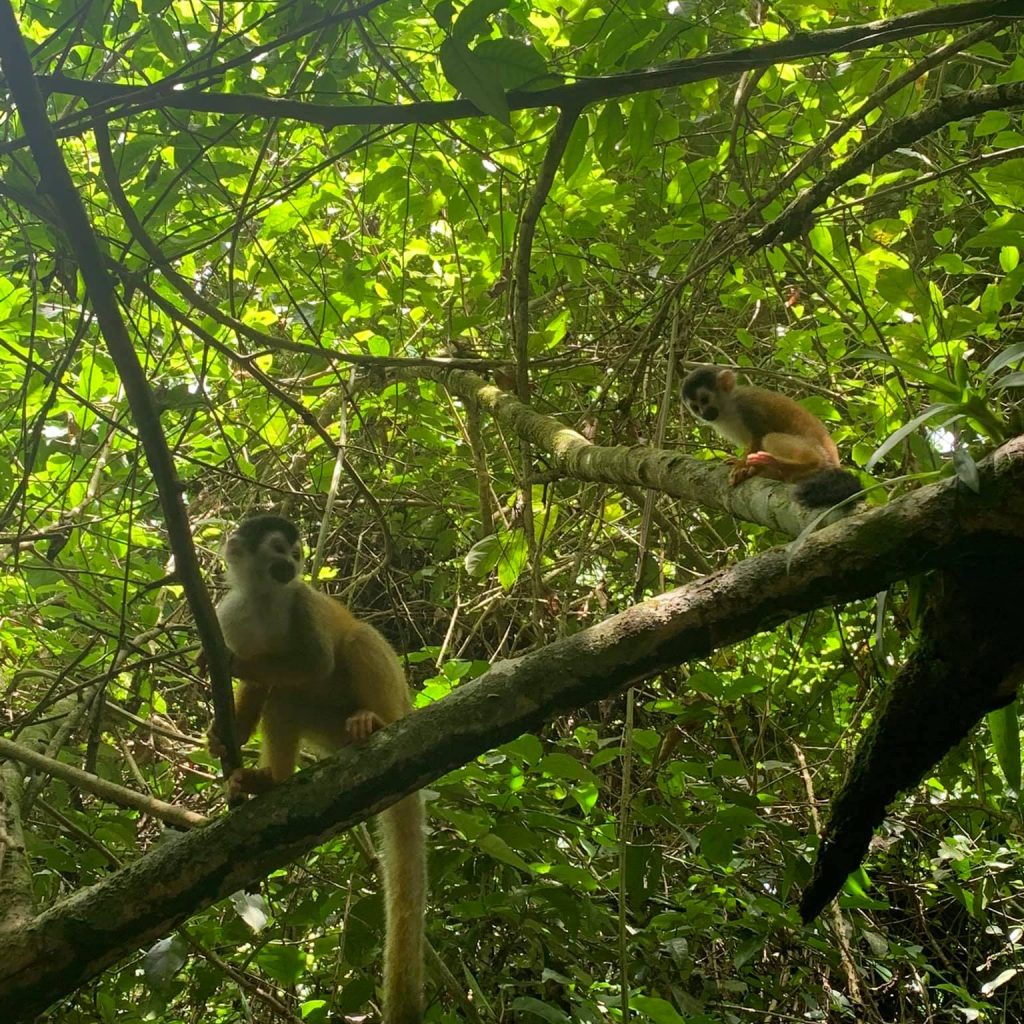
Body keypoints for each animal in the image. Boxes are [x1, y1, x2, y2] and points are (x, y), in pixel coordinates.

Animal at [205, 516, 425, 1024]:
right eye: (279, 549)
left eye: (297, 554)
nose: (291, 565)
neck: (265, 597)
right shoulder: (229, 615)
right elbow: (260, 687)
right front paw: (227, 735)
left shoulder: (302, 601)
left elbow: (314, 661)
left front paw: (234, 662)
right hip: (326, 728)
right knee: (285, 699)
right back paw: (272, 780)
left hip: (392, 700)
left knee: (357, 640)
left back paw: (373, 721)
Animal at [684, 368, 860, 512]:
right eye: (695, 407)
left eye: (705, 400)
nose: (704, 414)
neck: (728, 407)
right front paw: (737, 462)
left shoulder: (747, 406)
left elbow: (759, 435)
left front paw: (741, 467)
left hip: (820, 454)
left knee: (770, 438)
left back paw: (799, 463)